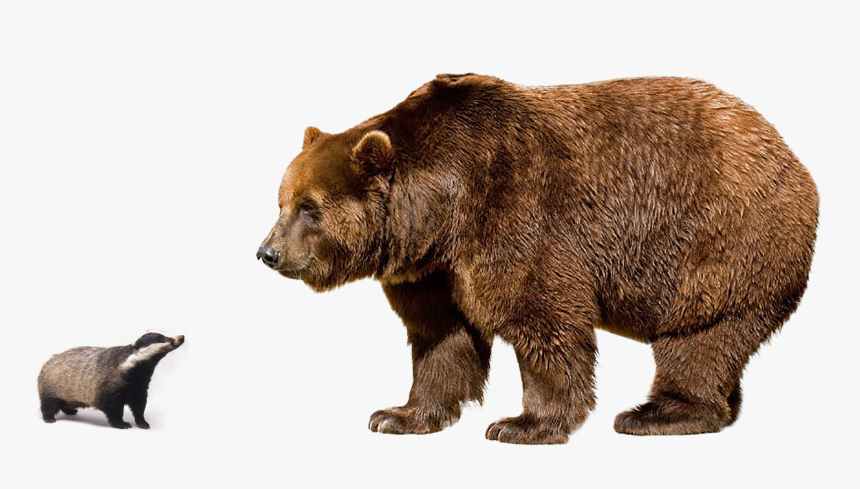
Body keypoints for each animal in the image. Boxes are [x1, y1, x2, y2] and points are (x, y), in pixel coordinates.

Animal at [257, 74, 819, 444]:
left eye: (310, 208)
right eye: (280, 201)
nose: (268, 252)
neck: (441, 208)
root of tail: (791, 157)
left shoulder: (517, 215)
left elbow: (541, 319)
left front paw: (522, 423)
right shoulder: (432, 270)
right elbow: (442, 338)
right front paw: (397, 415)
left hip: (721, 242)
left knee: (698, 338)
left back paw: (656, 414)